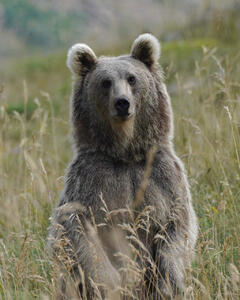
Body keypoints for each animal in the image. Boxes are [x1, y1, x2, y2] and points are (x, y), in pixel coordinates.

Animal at [47, 34, 198, 298]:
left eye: (132, 78)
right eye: (106, 82)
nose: (122, 103)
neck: (125, 153)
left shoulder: (162, 177)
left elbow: (176, 229)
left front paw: (169, 283)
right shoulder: (91, 181)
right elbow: (80, 232)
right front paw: (112, 283)